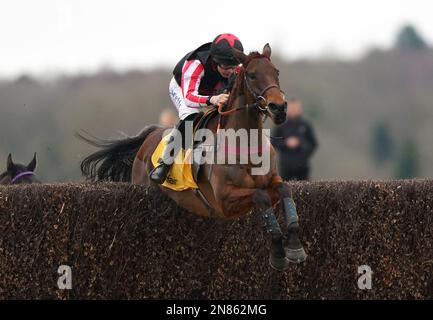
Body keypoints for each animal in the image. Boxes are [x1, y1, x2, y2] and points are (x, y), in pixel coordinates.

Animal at [77, 44, 308, 270]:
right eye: (252, 75)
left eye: (276, 72)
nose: (279, 108)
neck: (245, 143)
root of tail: (148, 136)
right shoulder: (224, 199)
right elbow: (260, 196)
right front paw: (278, 253)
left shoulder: (272, 182)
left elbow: (285, 189)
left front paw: (295, 247)